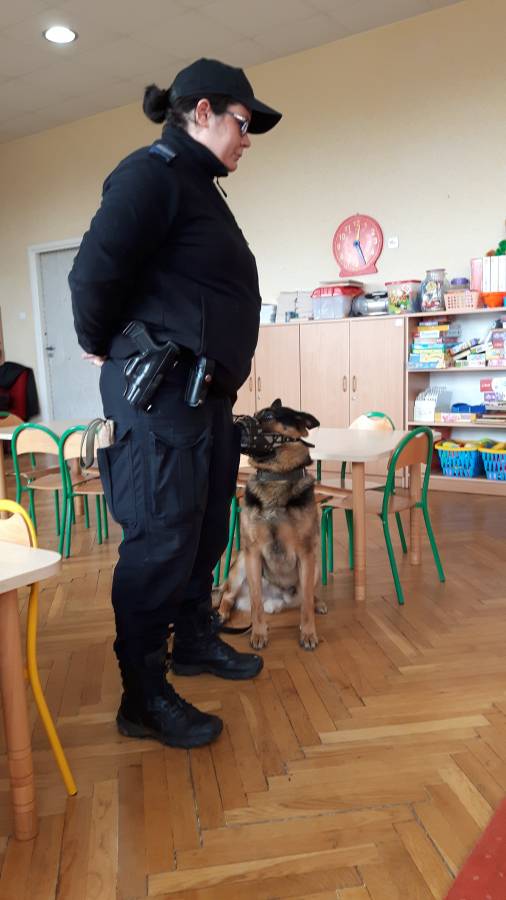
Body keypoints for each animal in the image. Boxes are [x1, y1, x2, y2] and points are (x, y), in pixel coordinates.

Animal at [217, 399, 327, 650]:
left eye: (268, 417)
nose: (236, 423)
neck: (277, 478)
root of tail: (277, 599)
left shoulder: (307, 554)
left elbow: (306, 604)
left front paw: (308, 633)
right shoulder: (253, 554)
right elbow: (256, 604)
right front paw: (258, 634)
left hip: (315, 565)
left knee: (306, 596)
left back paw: (317, 602)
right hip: (241, 564)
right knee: (228, 596)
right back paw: (221, 614)